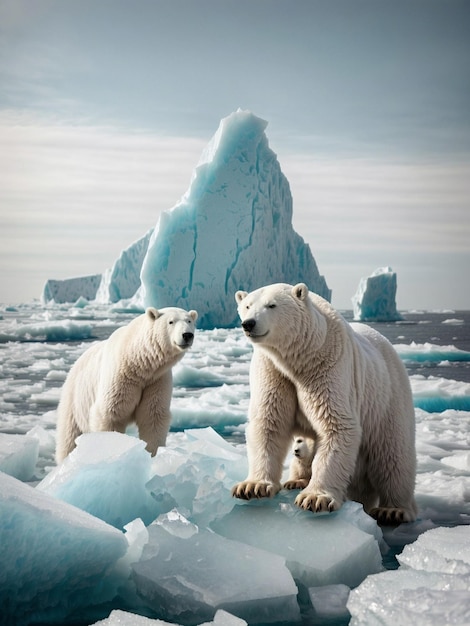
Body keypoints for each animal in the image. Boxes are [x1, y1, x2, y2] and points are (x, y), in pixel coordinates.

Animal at [56, 304, 197, 460]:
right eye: (171, 322)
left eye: (189, 321)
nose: (187, 335)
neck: (138, 362)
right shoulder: (120, 378)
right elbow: (109, 414)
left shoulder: (156, 380)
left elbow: (153, 417)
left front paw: (153, 456)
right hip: (75, 399)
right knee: (69, 437)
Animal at [231, 282, 414, 520]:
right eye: (247, 306)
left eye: (272, 305)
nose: (249, 323)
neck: (300, 358)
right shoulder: (272, 371)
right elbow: (268, 422)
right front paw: (252, 487)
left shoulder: (328, 368)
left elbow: (337, 425)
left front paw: (315, 498)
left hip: (387, 399)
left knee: (393, 456)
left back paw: (392, 510)